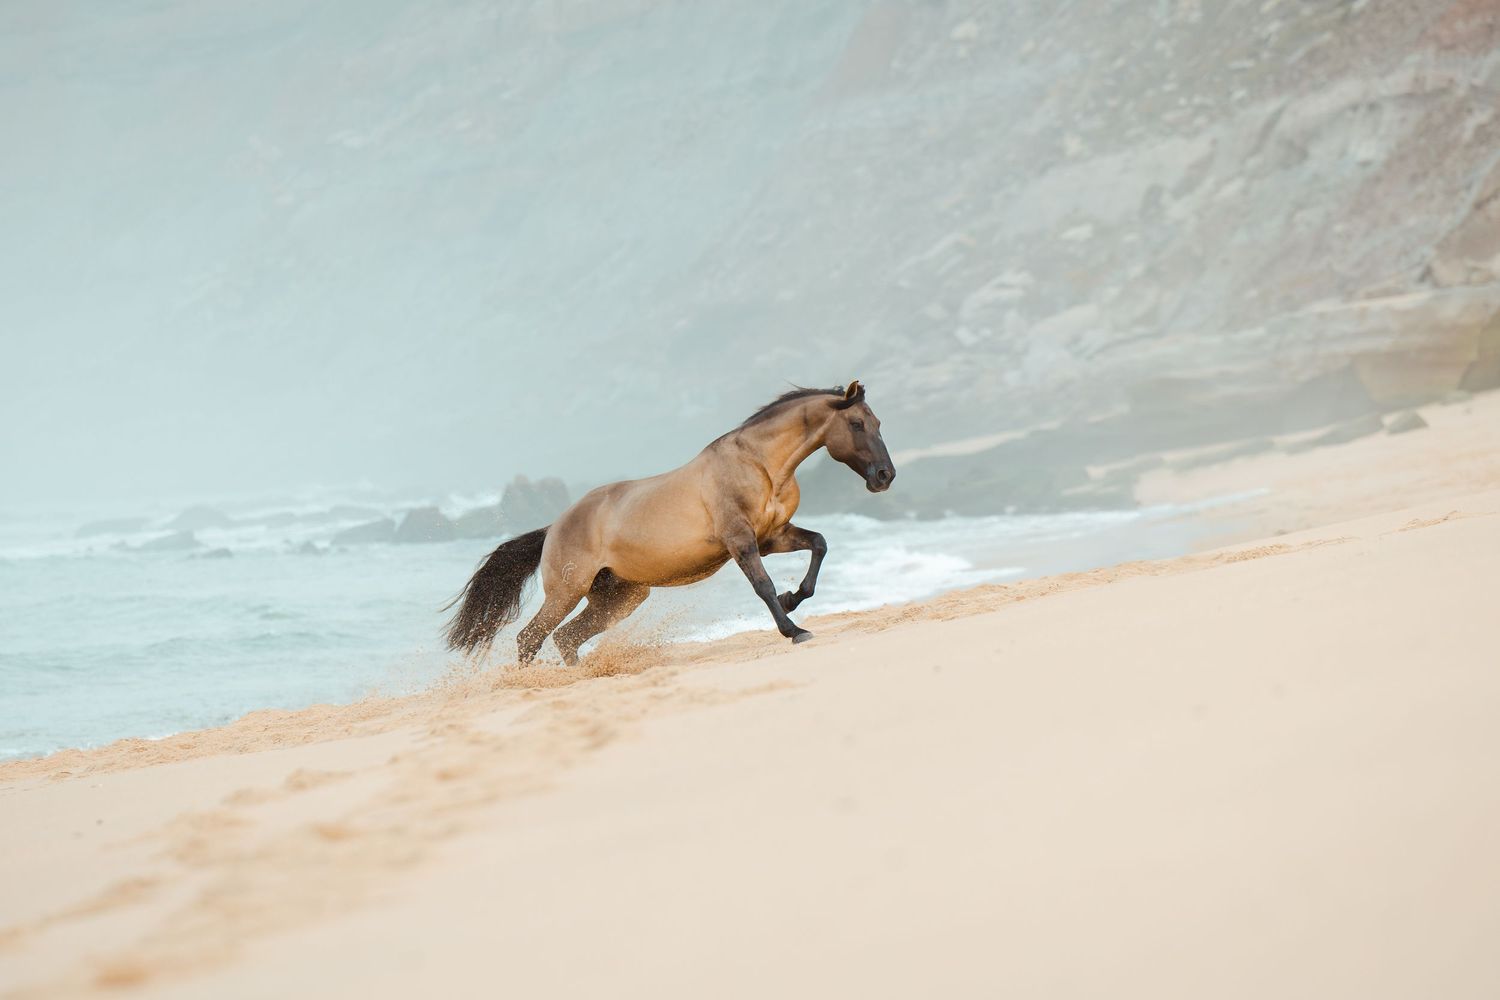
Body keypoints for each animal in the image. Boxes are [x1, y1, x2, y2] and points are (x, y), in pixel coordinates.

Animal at [444, 381, 896, 665]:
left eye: (877, 422)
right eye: (856, 423)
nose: (884, 477)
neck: (759, 466)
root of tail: (552, 528)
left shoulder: (773, 537)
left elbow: (819, 544)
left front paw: (792, 599)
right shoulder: (742, 542)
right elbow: (763, 586)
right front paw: (794, 629)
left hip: (620, 598)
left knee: (563, 638)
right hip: (567, 592)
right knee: (531, 637)